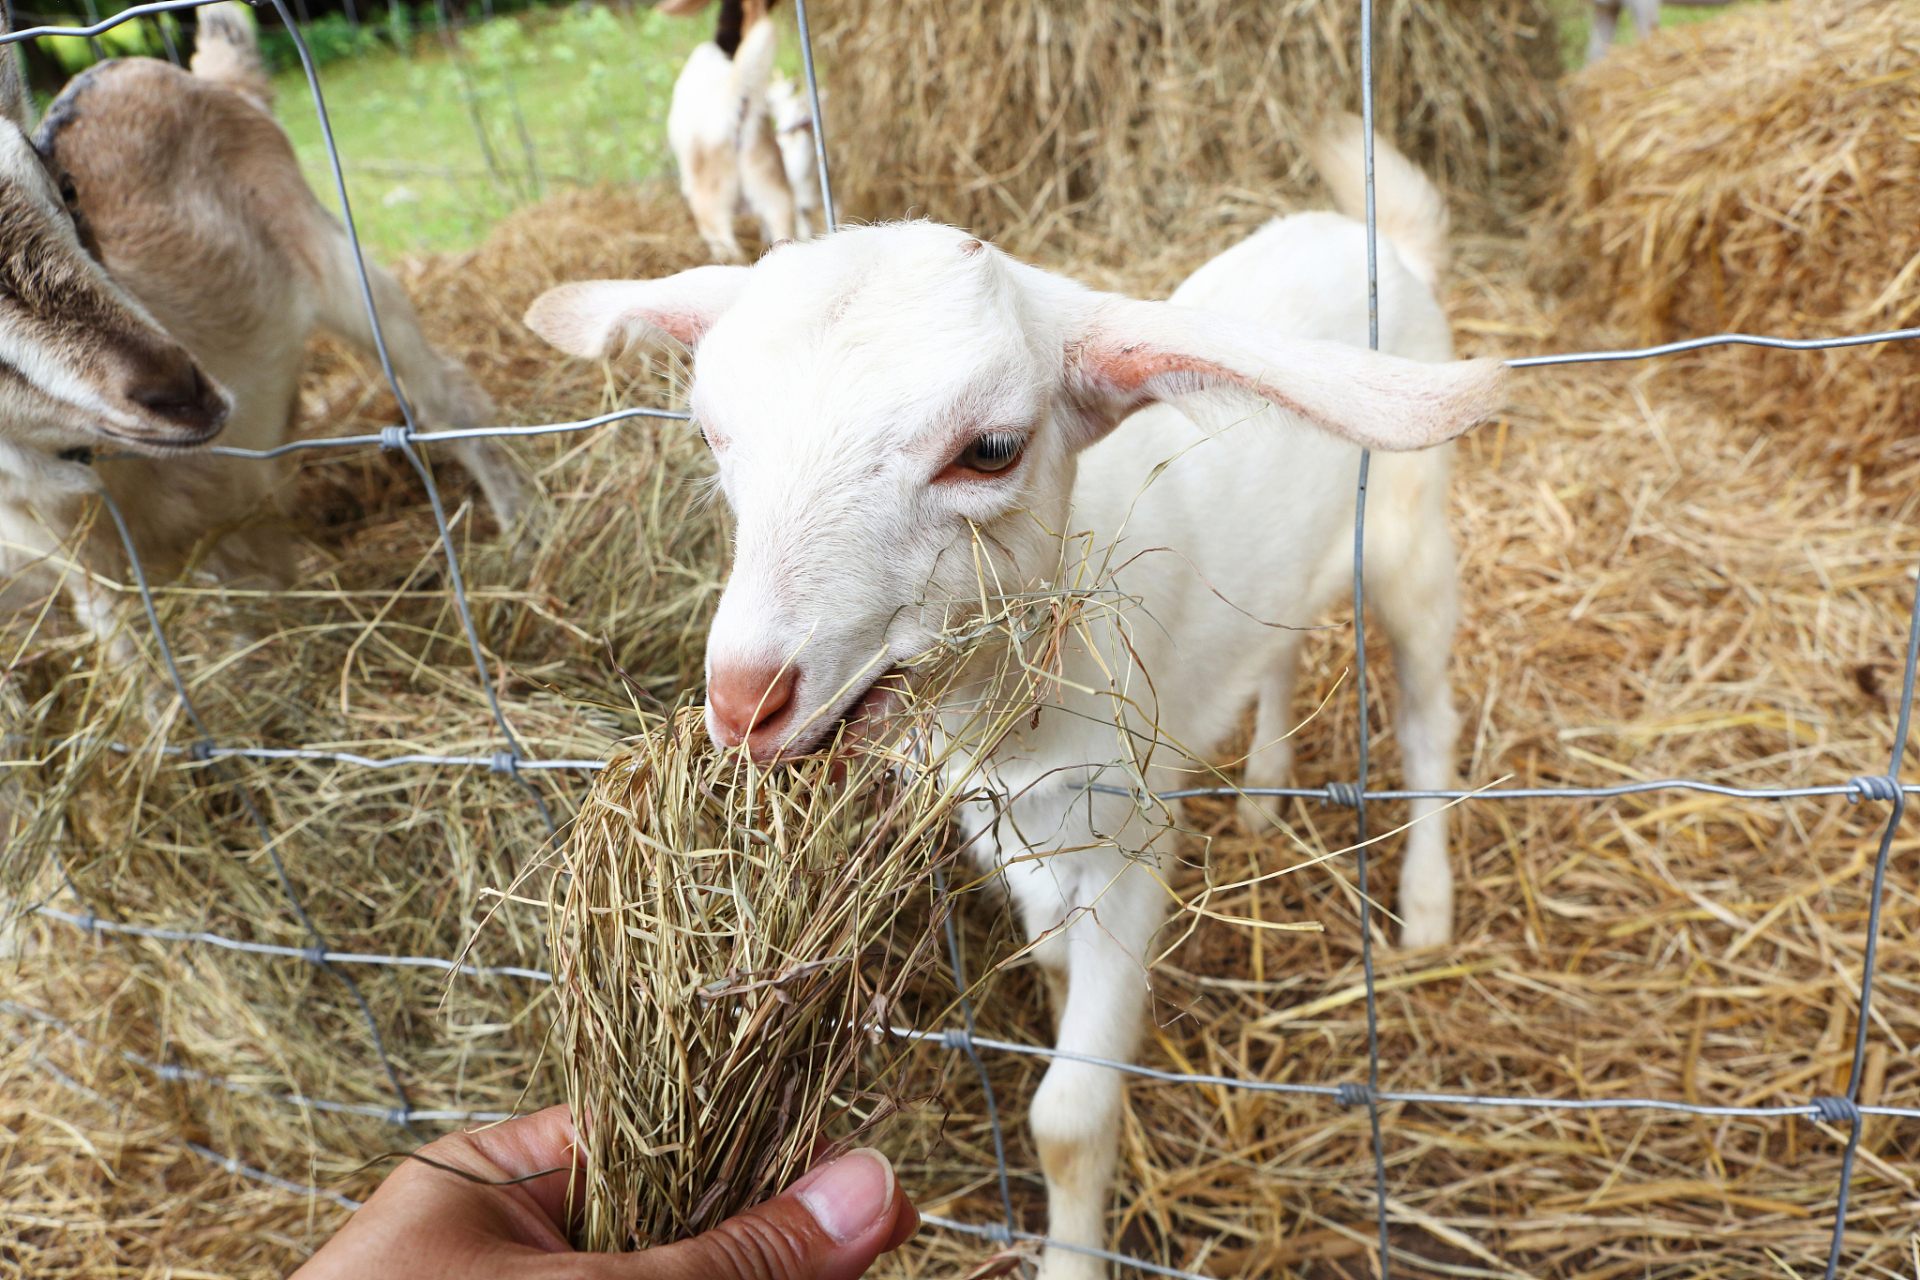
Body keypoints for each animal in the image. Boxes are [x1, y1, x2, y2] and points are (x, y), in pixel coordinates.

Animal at [0, 5, 526, 652]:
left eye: (69, 189)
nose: (182, 391)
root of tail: (211, 77)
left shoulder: (237, 508)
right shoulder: (93, 579)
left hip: (337, 258)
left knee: (446, 396)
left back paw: (530, 540)